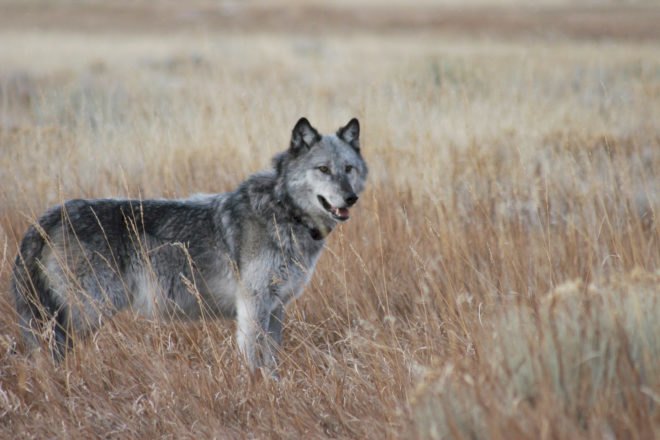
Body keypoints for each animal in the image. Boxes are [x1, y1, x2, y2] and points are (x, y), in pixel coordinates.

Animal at [11, 117, 368, 373]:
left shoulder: (276, 308)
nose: (351, 197)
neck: (285, 211)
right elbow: (255, 361)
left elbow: (272, 361)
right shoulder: (253, 306)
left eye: (348, 169)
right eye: (323, 169)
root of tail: (47, 217)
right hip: (84, 314)